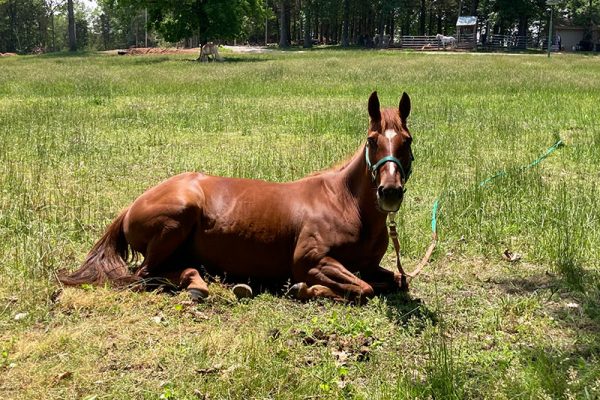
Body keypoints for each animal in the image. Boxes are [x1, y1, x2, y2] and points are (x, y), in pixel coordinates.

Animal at [58, 91, 420, 304]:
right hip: (177, 218)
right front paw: (303, 289)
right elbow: (363, 289)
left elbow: (397, 280)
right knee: (143, 275)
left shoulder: (368, 266)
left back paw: (201, 283)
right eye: (372, 140)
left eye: (408, 140)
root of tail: (130, 206)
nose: (389, 192)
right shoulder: (310, 260)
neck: (342, 203)